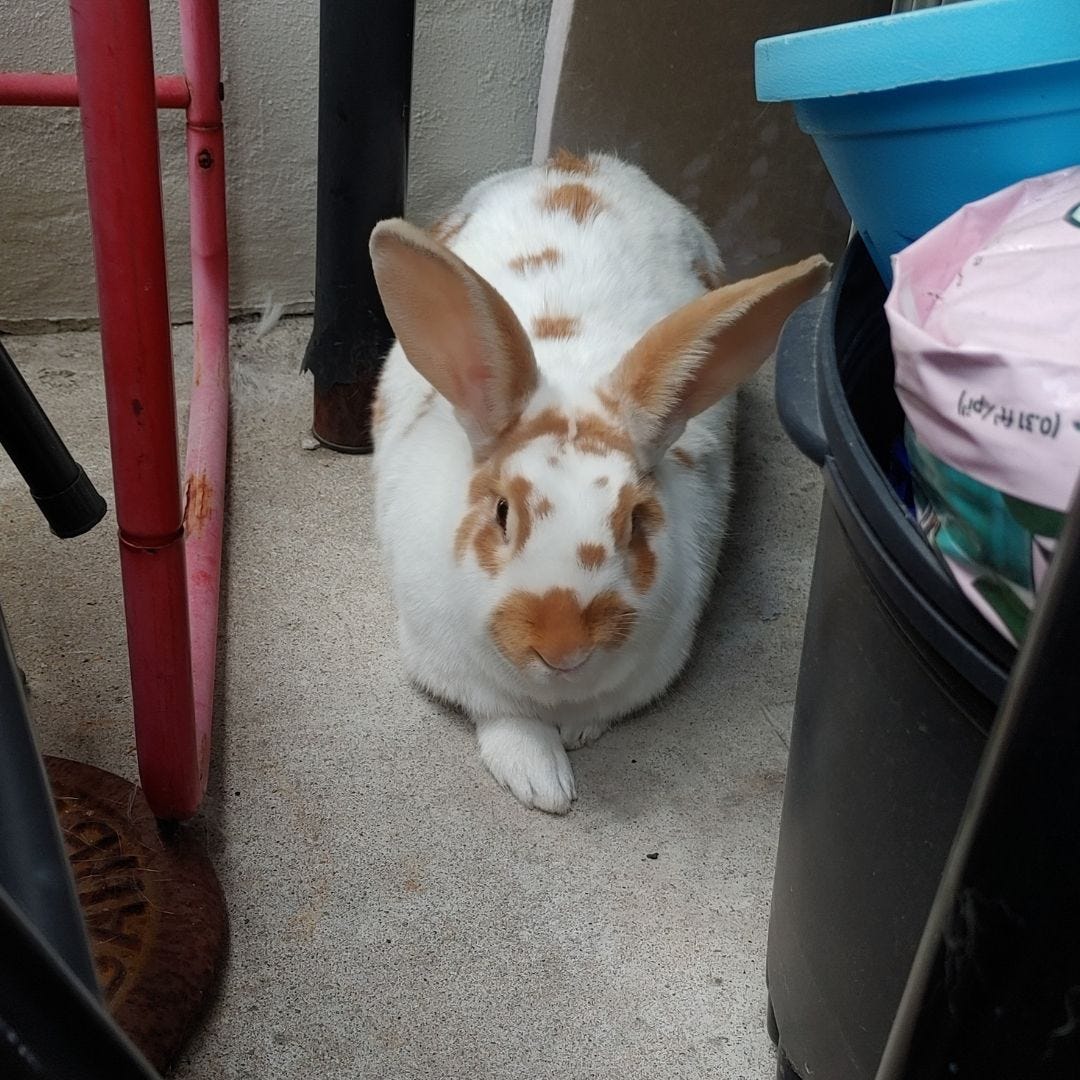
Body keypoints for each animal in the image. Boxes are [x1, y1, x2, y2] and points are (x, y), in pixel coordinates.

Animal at [369, 151, 828, 814]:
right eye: (503, 513)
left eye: (634, 521)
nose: (564, 649)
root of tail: (582, 161)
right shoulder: (459, 672)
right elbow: (508, 722)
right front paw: (545, 784)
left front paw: (577, 735)